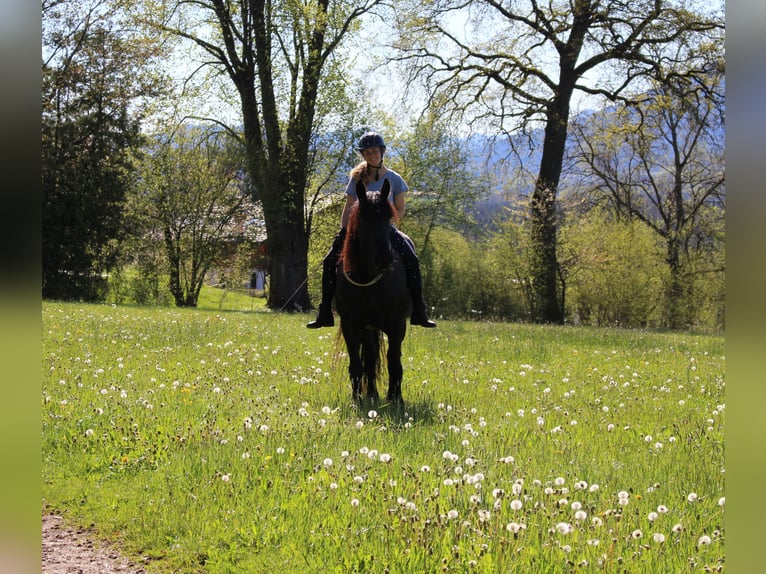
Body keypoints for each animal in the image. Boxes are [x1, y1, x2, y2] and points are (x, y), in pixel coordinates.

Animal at [338, 180, 414, 410]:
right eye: (363, 218)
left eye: (388, 217)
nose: (385, 258)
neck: (368, 278)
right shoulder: (350, 325)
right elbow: (357, 363)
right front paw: (356, 401)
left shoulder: (397, 325)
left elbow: (394, 362)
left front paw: (396, 400)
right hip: (368, 328)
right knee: (370, 357)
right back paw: (371, 394)